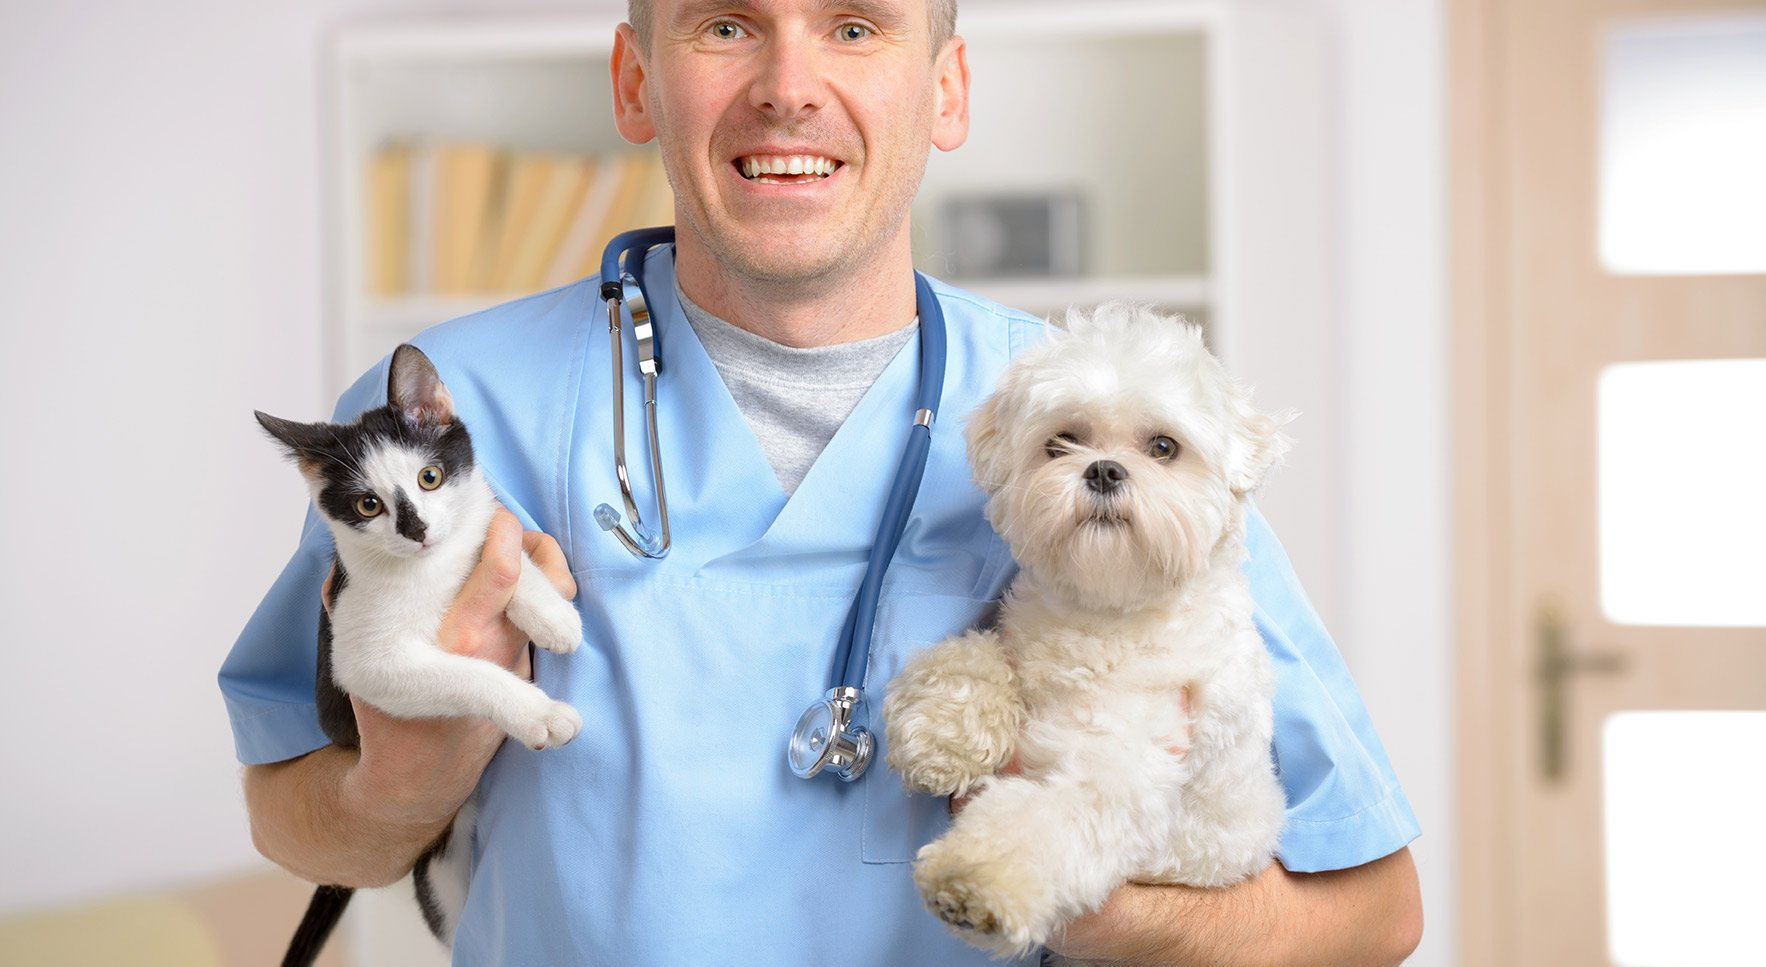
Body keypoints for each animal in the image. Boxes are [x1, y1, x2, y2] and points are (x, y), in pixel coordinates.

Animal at [257, 344, 586, 959]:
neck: (431, 568)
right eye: (368, 505)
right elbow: (469, 674)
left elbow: (503, 551)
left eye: (429, 477)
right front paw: (538, 712)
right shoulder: (362, 658)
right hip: (440, 872)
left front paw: (550, 613)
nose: (418, 530)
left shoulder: (484, 527)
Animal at [890, 303, 1292, 959]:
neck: (1106, 614)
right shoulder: (1019, 642)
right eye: (1063, 442)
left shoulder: (1124, 770)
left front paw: (976, 880)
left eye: (1163, 446)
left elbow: (1040, 822)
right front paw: (941, 737)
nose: (1104, 470)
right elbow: (969, 660)